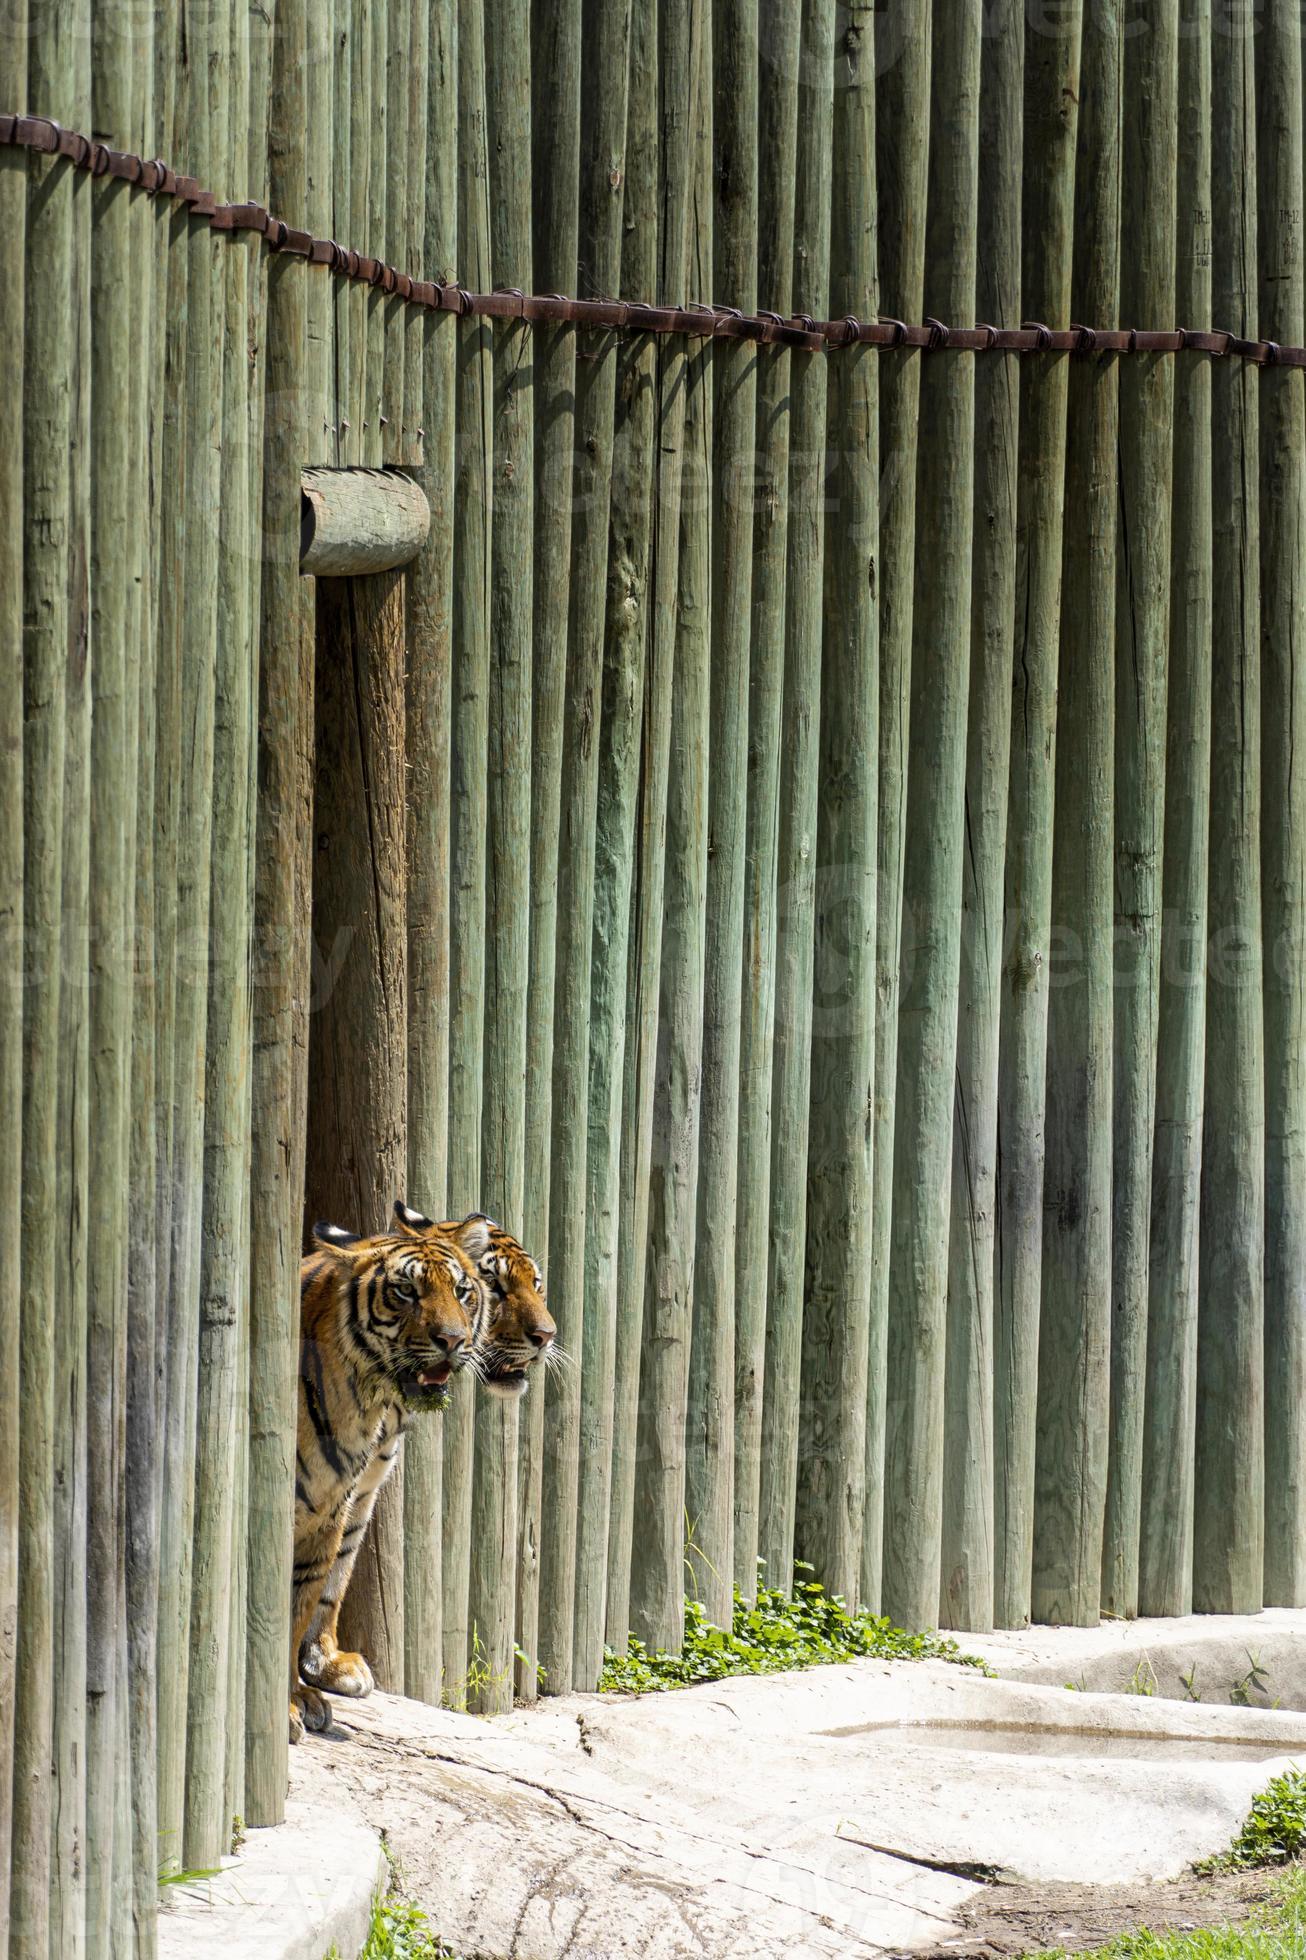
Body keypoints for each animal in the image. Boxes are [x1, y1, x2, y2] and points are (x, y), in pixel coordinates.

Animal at [290, 1199, 482, 1740]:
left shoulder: (332, 1509)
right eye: (405, 1291)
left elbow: (302, 1604)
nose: (452, 1341)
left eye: (462, 1291)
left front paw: (296, 1697)